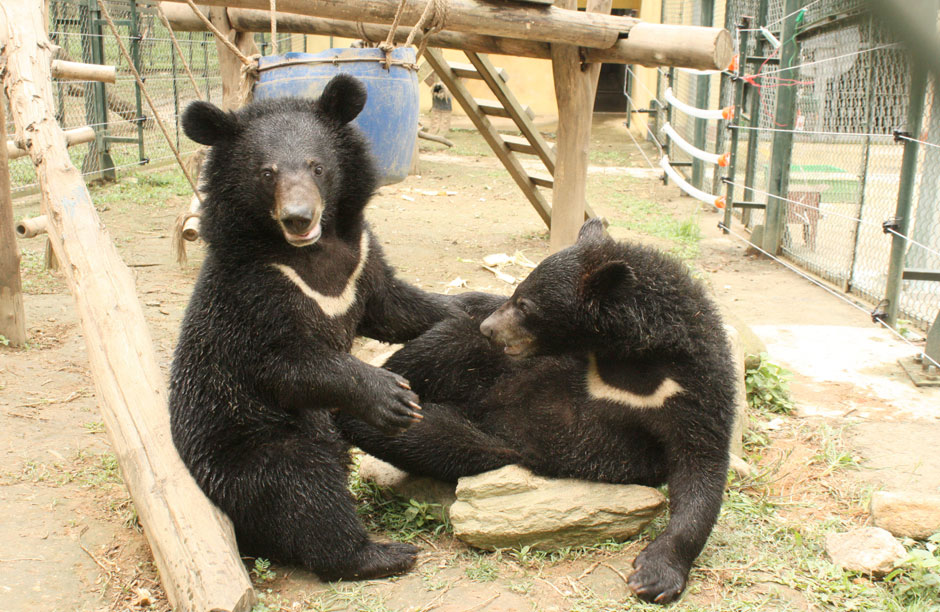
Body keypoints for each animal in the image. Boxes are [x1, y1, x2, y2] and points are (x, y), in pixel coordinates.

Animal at [172, 74, 462, 580]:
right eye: (267, 173)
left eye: (317, 167)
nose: (298, 217)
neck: (310, 252)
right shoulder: (254, 292)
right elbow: (286, 366)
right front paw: (393, 398)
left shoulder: (361, 257)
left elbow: (395, 308)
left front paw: (475, 309)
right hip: (247, 444)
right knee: (301, 487)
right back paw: (381, 553)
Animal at [340, 219, 740, 604]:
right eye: (516, 291)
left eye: (526, 305)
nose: (489, 328)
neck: (624, 358)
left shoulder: (693, 391)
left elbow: (700, 466)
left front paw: (653, 577)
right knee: (443, 349)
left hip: (498, 445)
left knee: (436, 439)